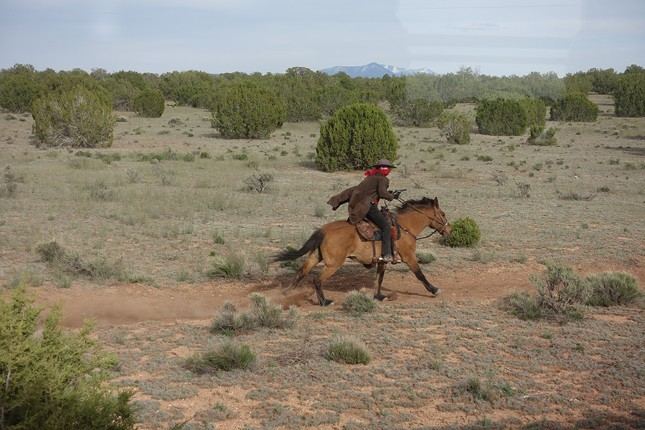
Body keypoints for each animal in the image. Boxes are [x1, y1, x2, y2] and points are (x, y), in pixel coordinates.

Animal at [274, 198, 450, 306]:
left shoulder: (382, 260)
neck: (404, 226)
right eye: (443, 214)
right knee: (317, 280)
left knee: (300, 273)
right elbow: (420, 274)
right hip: (333, 265)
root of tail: (322, 230)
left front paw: (379, 296)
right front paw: (434, 290)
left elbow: (379, 278)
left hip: (315, 257)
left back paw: (286, 293)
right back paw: (324, 302)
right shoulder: (408, 256)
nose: (450, 230)